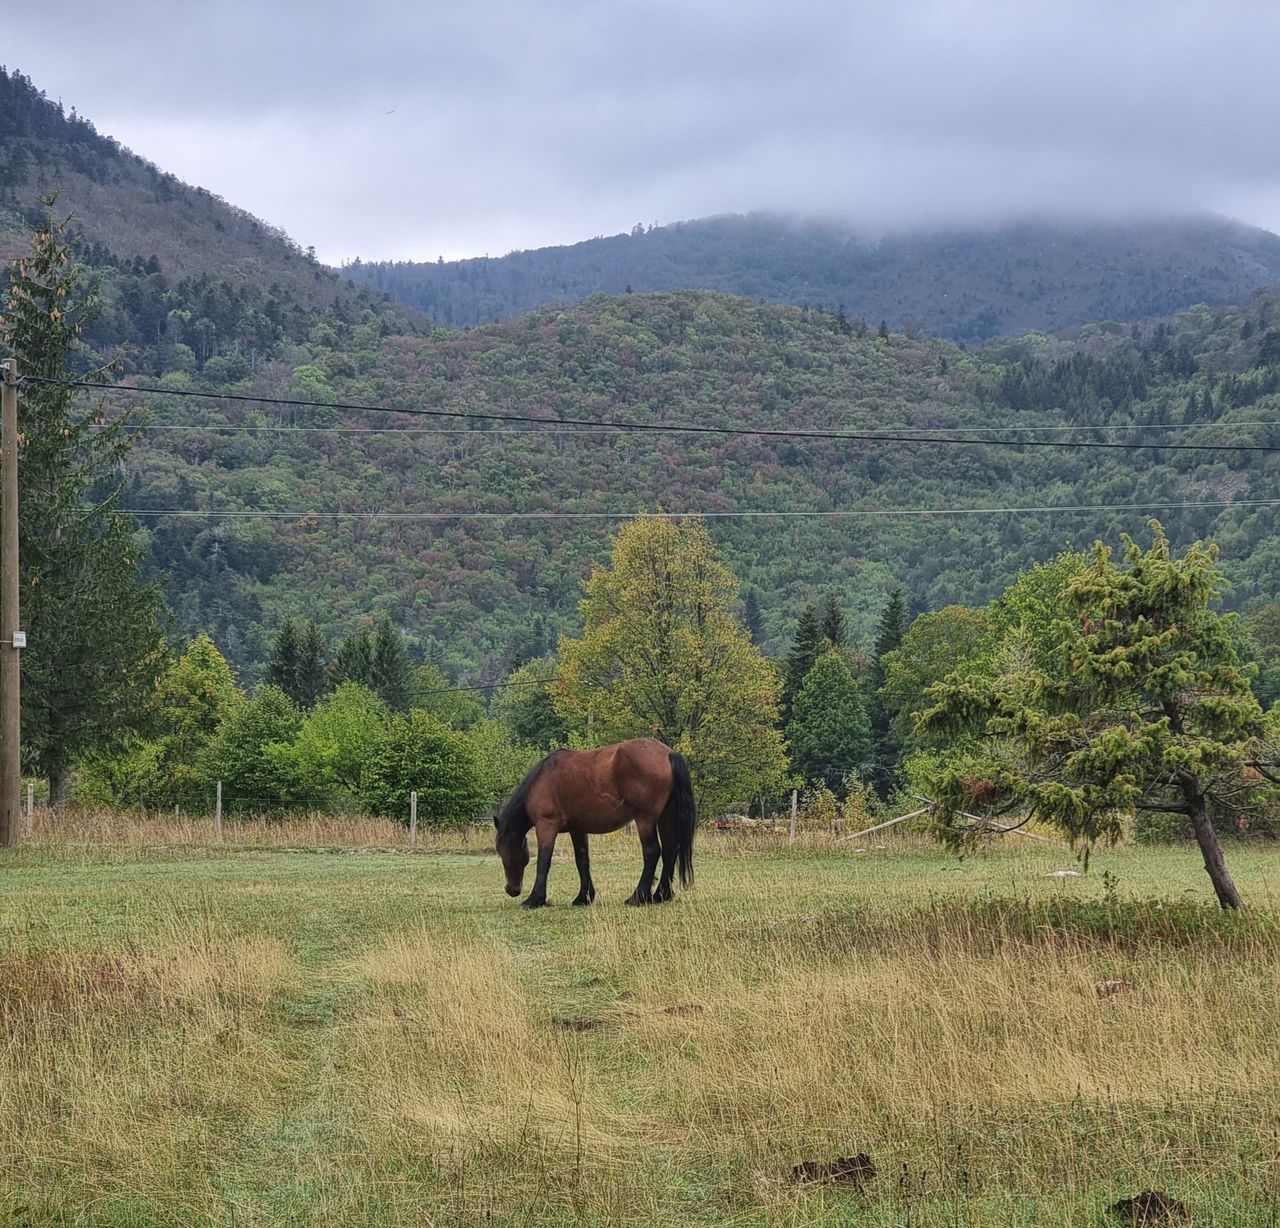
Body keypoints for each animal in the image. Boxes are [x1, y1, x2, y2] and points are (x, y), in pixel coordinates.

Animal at [494, 737, 696, 909]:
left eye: (505, 853)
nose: (512, 889)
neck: (542, 779)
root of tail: (669, 753)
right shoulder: (577, 829)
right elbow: (582, 860)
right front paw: (583, 897)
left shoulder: (546, 825)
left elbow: (544, 861)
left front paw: (534, 899)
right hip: (664, 817)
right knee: (670, 851)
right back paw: (661, 895)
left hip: (645, 819)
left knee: (652, 852)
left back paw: (637, 897)